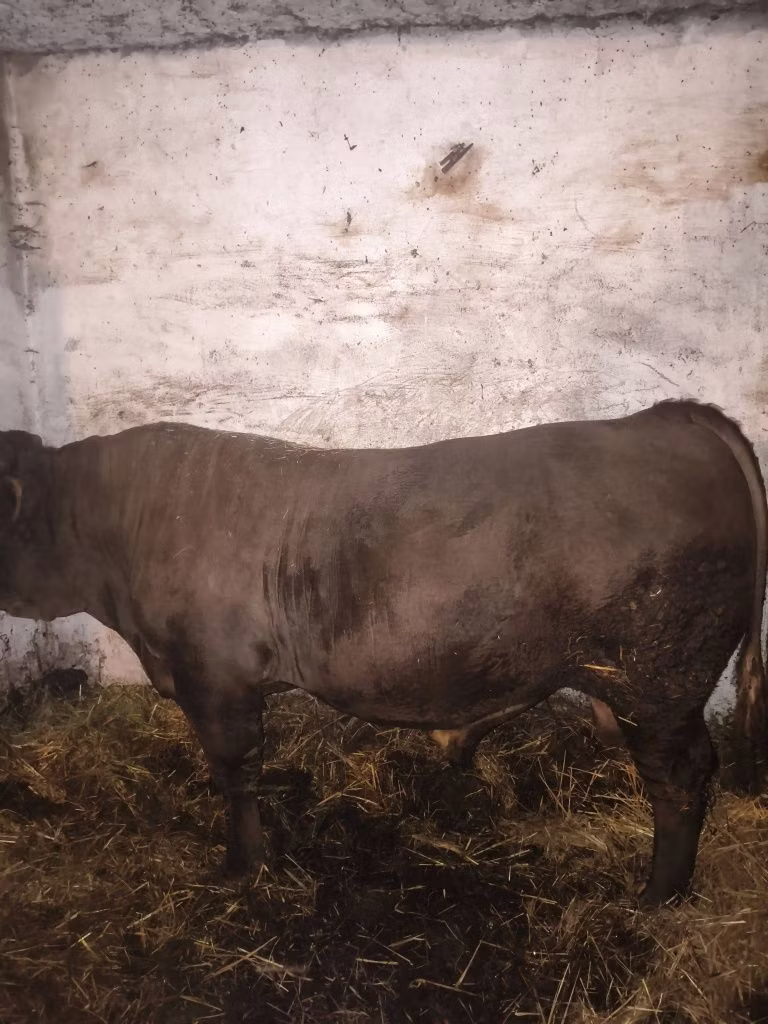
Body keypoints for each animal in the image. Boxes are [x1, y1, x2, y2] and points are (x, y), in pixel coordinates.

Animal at [0, 399, 765, 907]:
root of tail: (666, 418)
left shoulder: (214, 679)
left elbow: (234, 772)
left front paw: (244, 862)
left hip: (660, 679)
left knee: (682, 778)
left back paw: (658, 896)